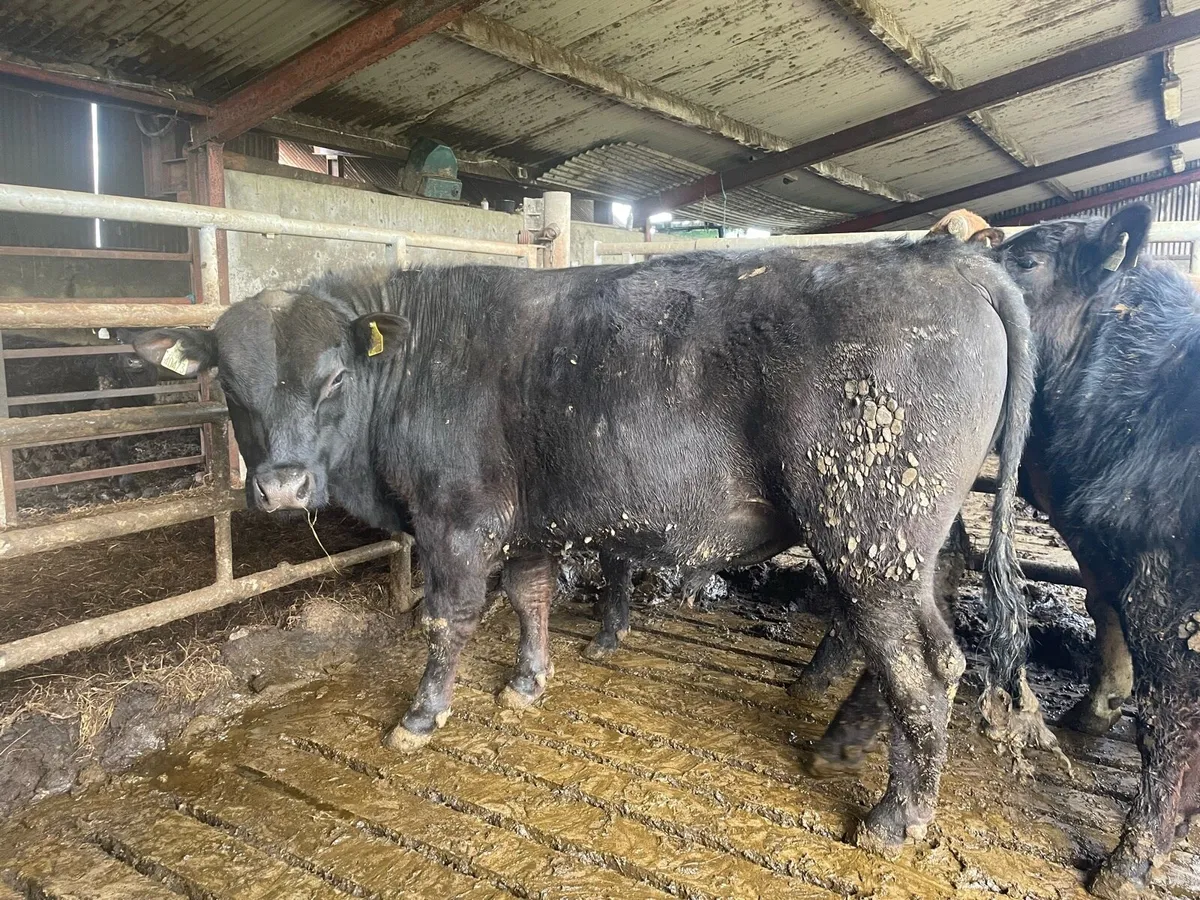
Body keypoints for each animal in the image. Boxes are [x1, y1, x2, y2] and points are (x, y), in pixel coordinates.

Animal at [131, 237, 1032, 852]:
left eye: (333, 379)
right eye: (232, 387)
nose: (281, 486)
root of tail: (943, 257)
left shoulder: (457, 521)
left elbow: (448, 619)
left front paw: (422, 714)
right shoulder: (529, 522)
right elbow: (529, 594)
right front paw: (527, 682)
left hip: (868, 535)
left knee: (921, 666)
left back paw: (894, 816)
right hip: (908, 544)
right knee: (921, 638)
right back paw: (844, 744)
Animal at [983, 204, 1200, 897]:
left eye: (1026, 260)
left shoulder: (1165, 591)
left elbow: (1168, 719)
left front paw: (1131, 859)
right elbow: (1104, 608)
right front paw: (1093, 709)